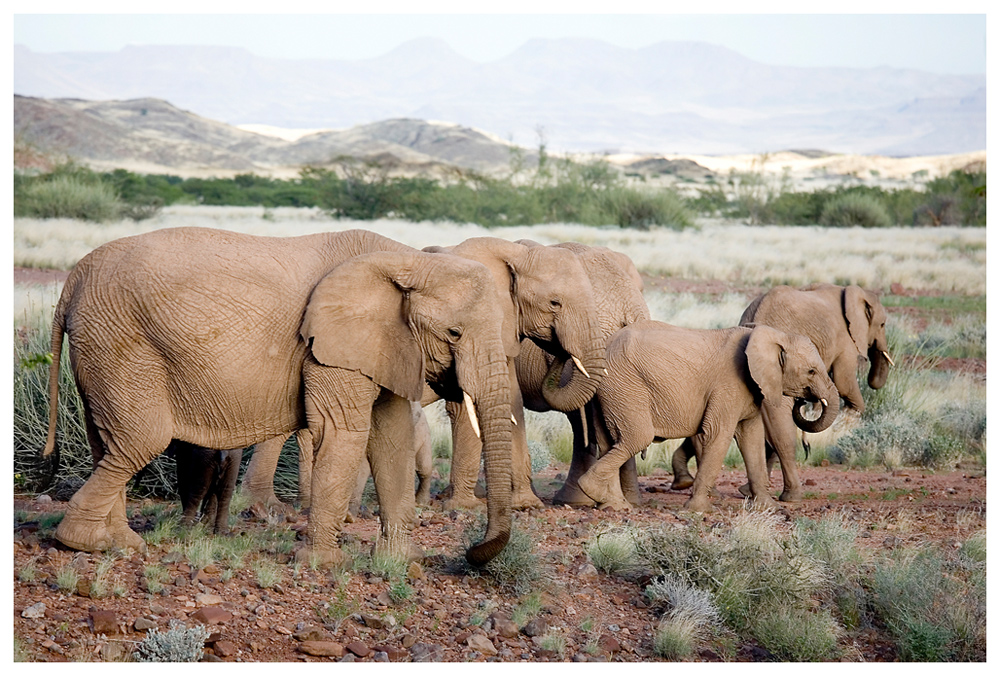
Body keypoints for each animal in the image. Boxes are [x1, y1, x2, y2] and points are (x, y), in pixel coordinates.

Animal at [45, 227, 516, 564]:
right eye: (454, 333)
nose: (471, 552)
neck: (409, 260)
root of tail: (73, 280)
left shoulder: (384, 345)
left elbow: (391, 438)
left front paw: (402, 559)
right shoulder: (329, 346)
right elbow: (343, 433)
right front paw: (322, 563)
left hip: (102, 347)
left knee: (107, 442)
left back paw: (119, 542)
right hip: (121, 343)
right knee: (140, 439)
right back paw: (85, 543)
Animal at [420, 236, 604, 508]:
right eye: (554, 303)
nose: (560, 350)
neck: (517, 254)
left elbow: (511, 403)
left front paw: (526, 505)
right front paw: (465, 507)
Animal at [576, 320, 840, 510]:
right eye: (811, 371)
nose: (803, 402)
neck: (772, 335)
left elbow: (752, 439)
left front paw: (769, 508)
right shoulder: (728, 385)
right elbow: (718, 435)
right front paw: (698, 510)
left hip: (608, 390)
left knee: (608, 442)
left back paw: (613, 505)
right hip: (623, 385)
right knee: (636, 438)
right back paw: (594, 492)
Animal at [672, 282, 892, 502]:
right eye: (882, 324)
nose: (803, 401)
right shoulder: (845, 340)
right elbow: (845, 382)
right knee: (781, 434)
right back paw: (790, 496)